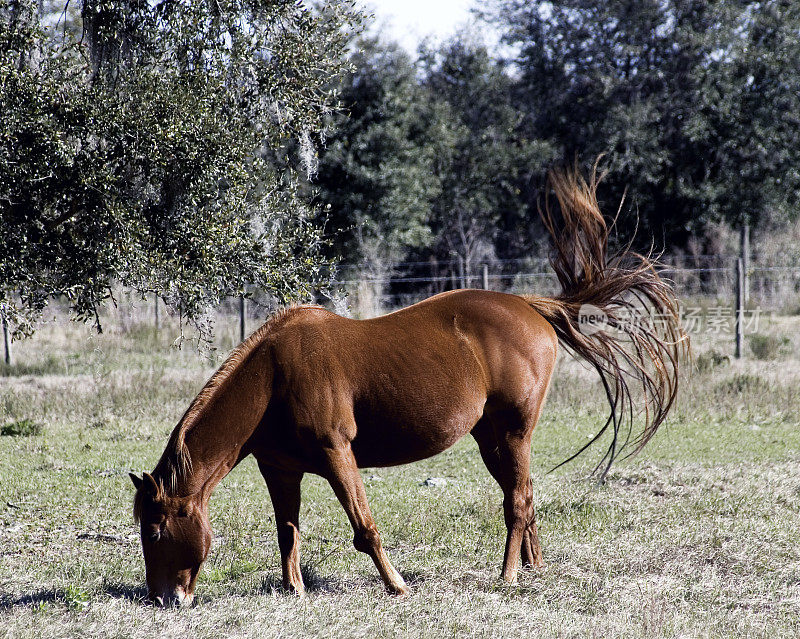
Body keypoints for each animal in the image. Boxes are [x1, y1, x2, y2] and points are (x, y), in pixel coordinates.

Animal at [128, 165, 684, 604]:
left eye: (154, 530)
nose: (164, 599)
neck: (273, 380)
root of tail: (531, 307)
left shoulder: (337, 454)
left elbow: (364, 528)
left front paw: (396, 585)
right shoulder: (280, 470)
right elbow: (288, 531)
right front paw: (293, 589)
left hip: (513, 432)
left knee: (518, 502)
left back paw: (507, 576)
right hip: (490, 439)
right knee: (521, 495)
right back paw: (533, 567)